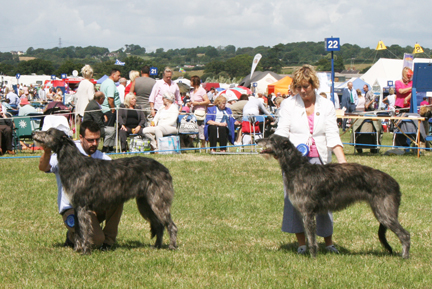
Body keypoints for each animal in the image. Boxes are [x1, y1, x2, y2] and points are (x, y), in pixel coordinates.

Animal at [32, 127, 177, 252]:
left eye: (49, 132)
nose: (33, 133)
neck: (74, 163)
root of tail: (165, 169)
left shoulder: (82, 206)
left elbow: (84, 229)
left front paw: (85, 250)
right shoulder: (77, 206)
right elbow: (78, 229)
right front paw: (77, 249)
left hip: (157, 201)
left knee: (171, 225)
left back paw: (172, 246)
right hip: (145, 203)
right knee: (159, 225)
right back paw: (157, 246)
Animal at [258, 134, 410, 258]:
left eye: (272, 139)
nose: (258, 140)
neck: (297, 168)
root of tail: (394, 182)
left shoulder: (308, 212)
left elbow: (312, 239)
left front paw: (313, 258)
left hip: (384, 212)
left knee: (405, 234)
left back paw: (405, 257)